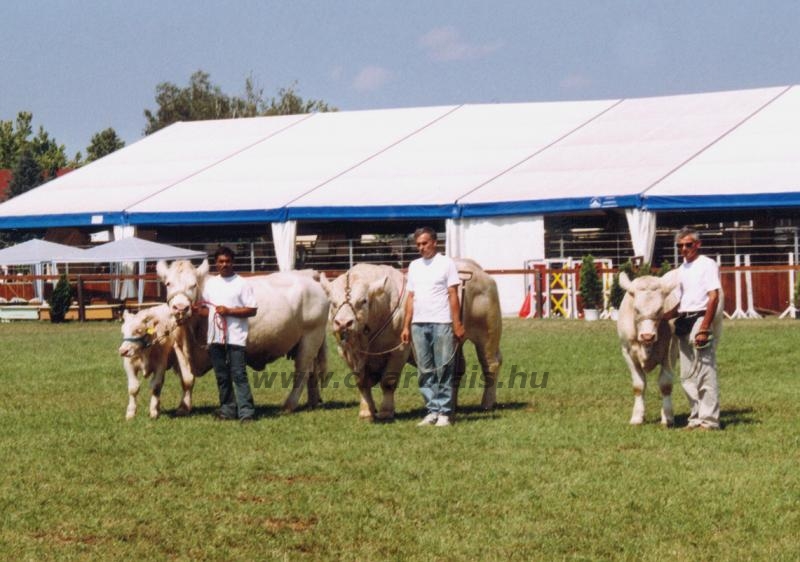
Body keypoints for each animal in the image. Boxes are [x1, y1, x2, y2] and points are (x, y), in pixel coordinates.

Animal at [156, 260, 328, 412]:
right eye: (168, 283)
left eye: (193, 285)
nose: (180, 308)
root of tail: (307, 274)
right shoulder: (179, 348)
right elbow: (187, 380)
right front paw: (183, 408)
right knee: (312, 371)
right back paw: (312, 402)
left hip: (311, 337)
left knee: (302, 371)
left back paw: (289, 405)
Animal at [318, 258, 500, 420]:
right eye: (332, 302)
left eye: (363, 301)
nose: (343, 323)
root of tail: (476, 269)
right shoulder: (347, 353)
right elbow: (361, 382)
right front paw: (366, 411)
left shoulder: (398, 351)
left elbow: (388, 381)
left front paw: (386, 411)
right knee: (456, 370)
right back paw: (452, 405)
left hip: (487, 333)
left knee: (491, 365)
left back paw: (487, 403)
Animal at [616, 272, 680, 424]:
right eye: (636, 309)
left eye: (660, 309)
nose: (647, 336)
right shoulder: (627, 352)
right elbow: (639, 385)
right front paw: (637, 417)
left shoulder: (670, 351)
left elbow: (665, 384)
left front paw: (667, 416)